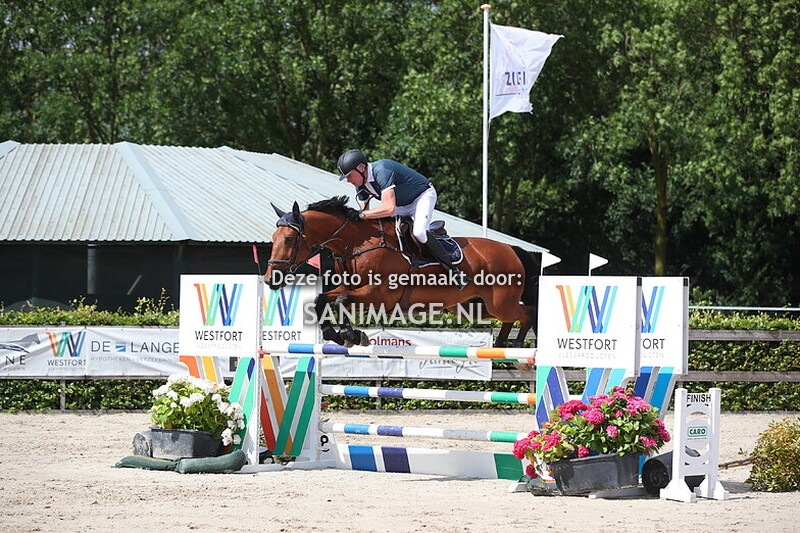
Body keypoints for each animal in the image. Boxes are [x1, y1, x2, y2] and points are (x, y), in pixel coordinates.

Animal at [265, 196, 538, 348]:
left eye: (289, 239)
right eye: (273, 238)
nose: (270, 279)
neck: (357, 244)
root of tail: (512, 249)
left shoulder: (380, 296)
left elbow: (341, 300)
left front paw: (351, 334)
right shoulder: (353, 288)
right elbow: (324, 299)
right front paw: (338, 335)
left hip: (499, 303)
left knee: (526, 313)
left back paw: (516, 344)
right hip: (473, 307)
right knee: (510, 318)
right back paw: (502, 344)